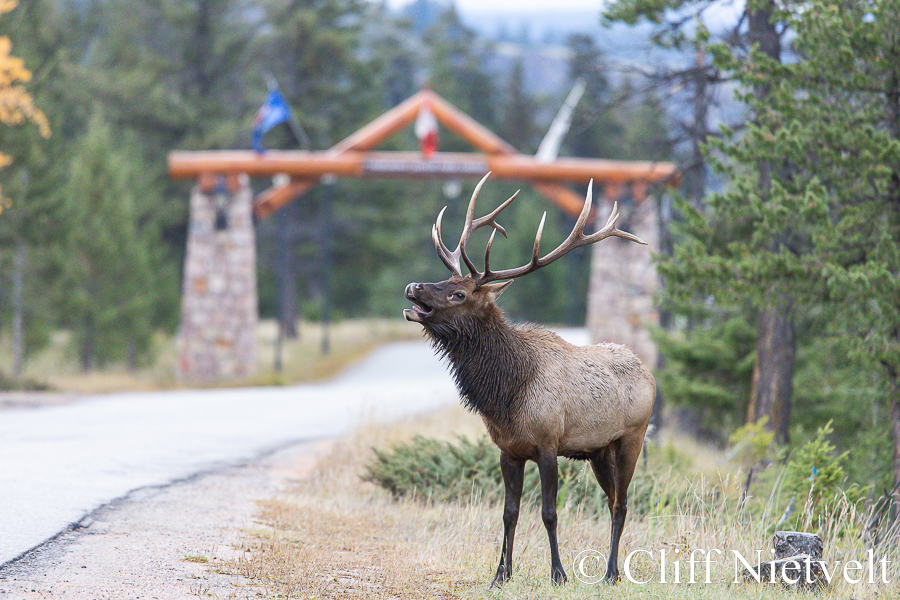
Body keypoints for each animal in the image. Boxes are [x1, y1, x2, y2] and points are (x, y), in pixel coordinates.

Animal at [406, 172, 652, 584]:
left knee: (621, 504)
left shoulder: (549, 443)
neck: (506, 394)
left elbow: (549, 513)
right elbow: (510, 513)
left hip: (631, 438)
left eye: (459, 294)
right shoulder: (508, 451)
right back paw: (611, 570)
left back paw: (610, 573)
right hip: (599, 451)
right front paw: (500, 575)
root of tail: (648, 372)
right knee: (612, 500)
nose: (414, 286)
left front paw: (558, 574)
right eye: (443, 279)